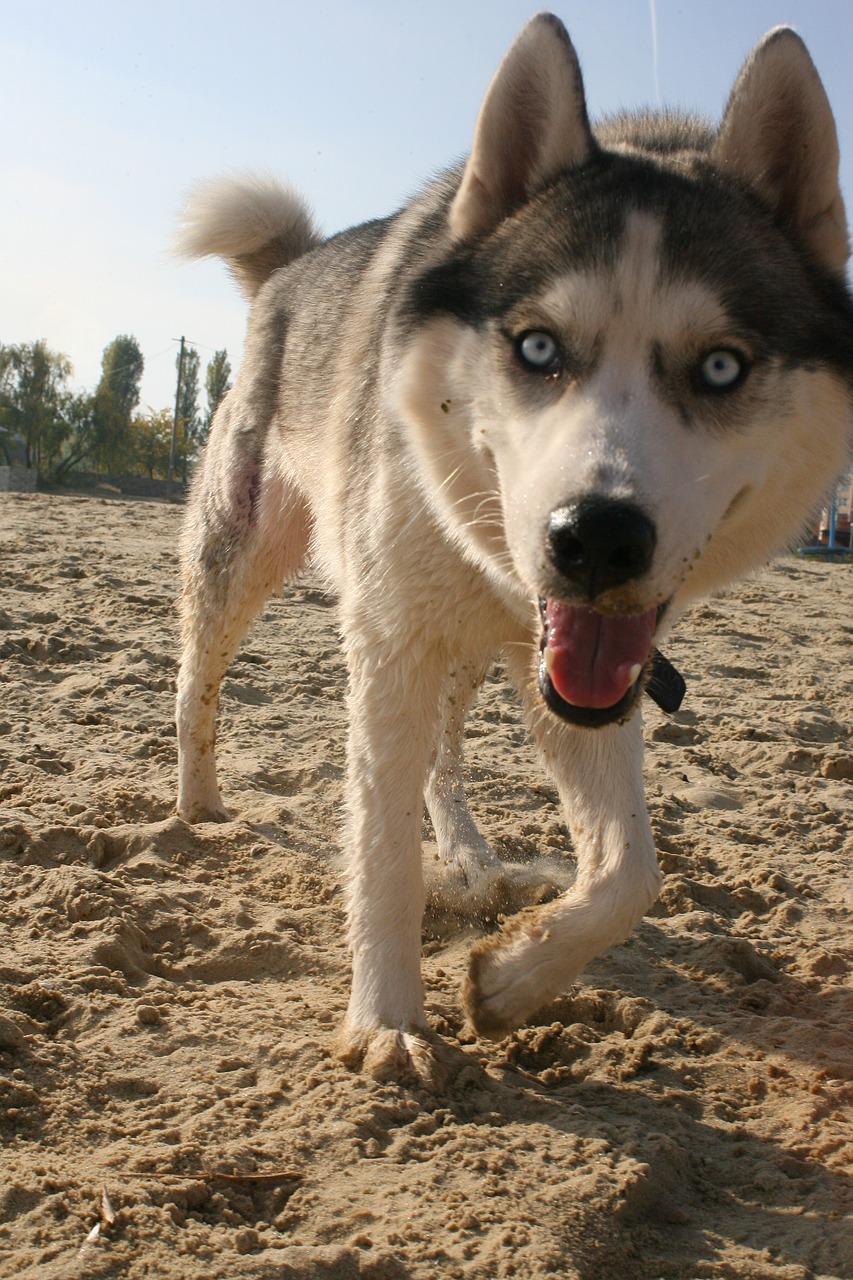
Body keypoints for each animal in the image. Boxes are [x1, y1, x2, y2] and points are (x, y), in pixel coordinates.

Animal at [172, 15, 850, 1085]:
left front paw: (510, 980)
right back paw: (196, 803)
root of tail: (295, 262)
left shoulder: (582, 670)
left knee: (448, 761)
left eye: (720, 367)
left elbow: (629, 871)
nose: (596, 538)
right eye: (536, 348)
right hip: (241, 547)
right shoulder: (392, 640)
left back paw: (475, 864)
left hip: (474, 646)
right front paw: (387, 1021)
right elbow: (379, 846)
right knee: (198, 677)